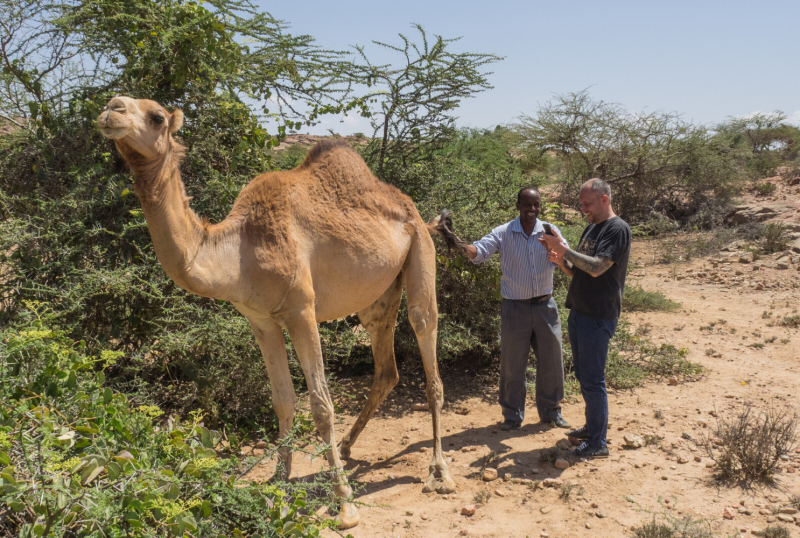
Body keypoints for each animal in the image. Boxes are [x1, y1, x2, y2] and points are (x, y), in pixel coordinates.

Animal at [97, 96, 456, 528]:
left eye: (156, 117)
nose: (112, 109)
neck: (239, 250)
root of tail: (419, 214)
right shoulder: (260, 319)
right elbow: (283, 400)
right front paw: (278, 490)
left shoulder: (301, 309)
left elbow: (320, 406)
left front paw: (344, 504)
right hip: (378, 295)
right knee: (386, 367)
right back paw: (349, 447)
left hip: (420, 253)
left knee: (425, 339)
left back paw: (439, 472)